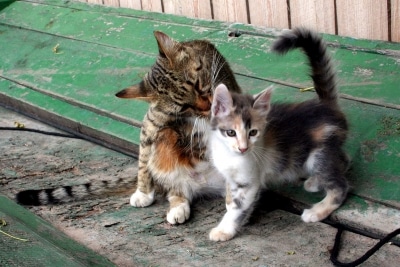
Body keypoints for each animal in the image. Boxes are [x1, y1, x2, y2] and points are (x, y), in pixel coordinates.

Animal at [208, 27, 348, 243]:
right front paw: (232, 208)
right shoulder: (232, 177)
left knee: (341, 186)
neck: (231, 156)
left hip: (318, 153)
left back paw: (317, 210)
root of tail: (327, 107)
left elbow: (238, 207)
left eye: (253, 132)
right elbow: (232, 198)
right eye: (230, 132)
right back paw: (316, 181)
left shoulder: (250, 181)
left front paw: (225, 229)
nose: (243, 148)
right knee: (344, 160)